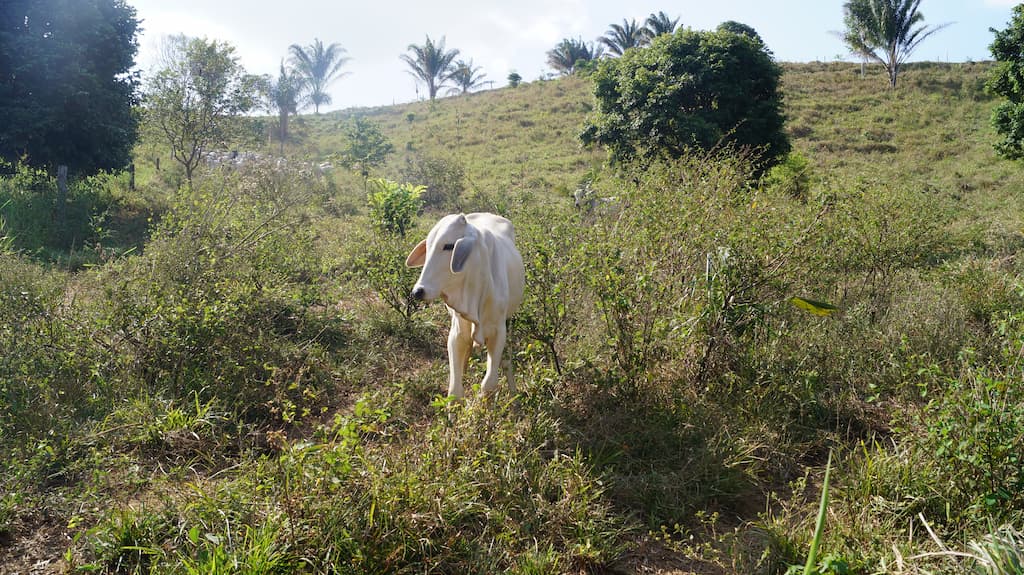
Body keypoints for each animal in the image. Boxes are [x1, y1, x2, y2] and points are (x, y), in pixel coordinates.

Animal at [406, 213, 525, 399]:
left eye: (449, 246)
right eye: (428, 246)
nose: (418, 291)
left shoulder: (499, 331)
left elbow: (489, 383)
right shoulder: (457, 332)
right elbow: (455, 390)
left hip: (509, 320)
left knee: (506, 361)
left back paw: (513, 392)